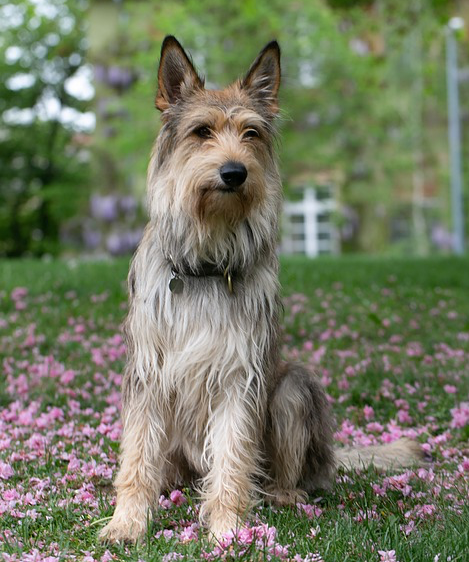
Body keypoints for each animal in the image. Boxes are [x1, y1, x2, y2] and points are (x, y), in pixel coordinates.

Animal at [98, 36, 420, 544]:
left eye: (250, 133)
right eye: (202, 132)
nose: (235, 172)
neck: (207, 263)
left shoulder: (238, 375)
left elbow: (233, 457)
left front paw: (228, 528)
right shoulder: (148, 375)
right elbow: (136, 456)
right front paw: (127, 521)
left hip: (294, 387)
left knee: (286, 467)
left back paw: (284, 496)